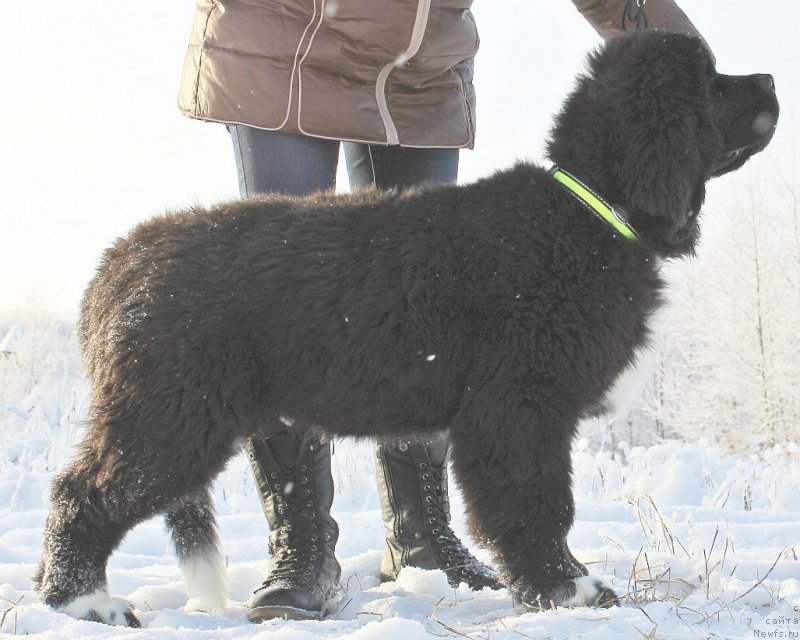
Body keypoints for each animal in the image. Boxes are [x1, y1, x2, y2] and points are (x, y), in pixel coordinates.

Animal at [36, 31, 776, 624]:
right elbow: (538, 503)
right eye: (712, 81)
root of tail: (116, 264)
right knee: (85, 491)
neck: (587, 210)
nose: (770, 79)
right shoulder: (519, 406)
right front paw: (568, 591)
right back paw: (83, 601)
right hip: (173, 410)